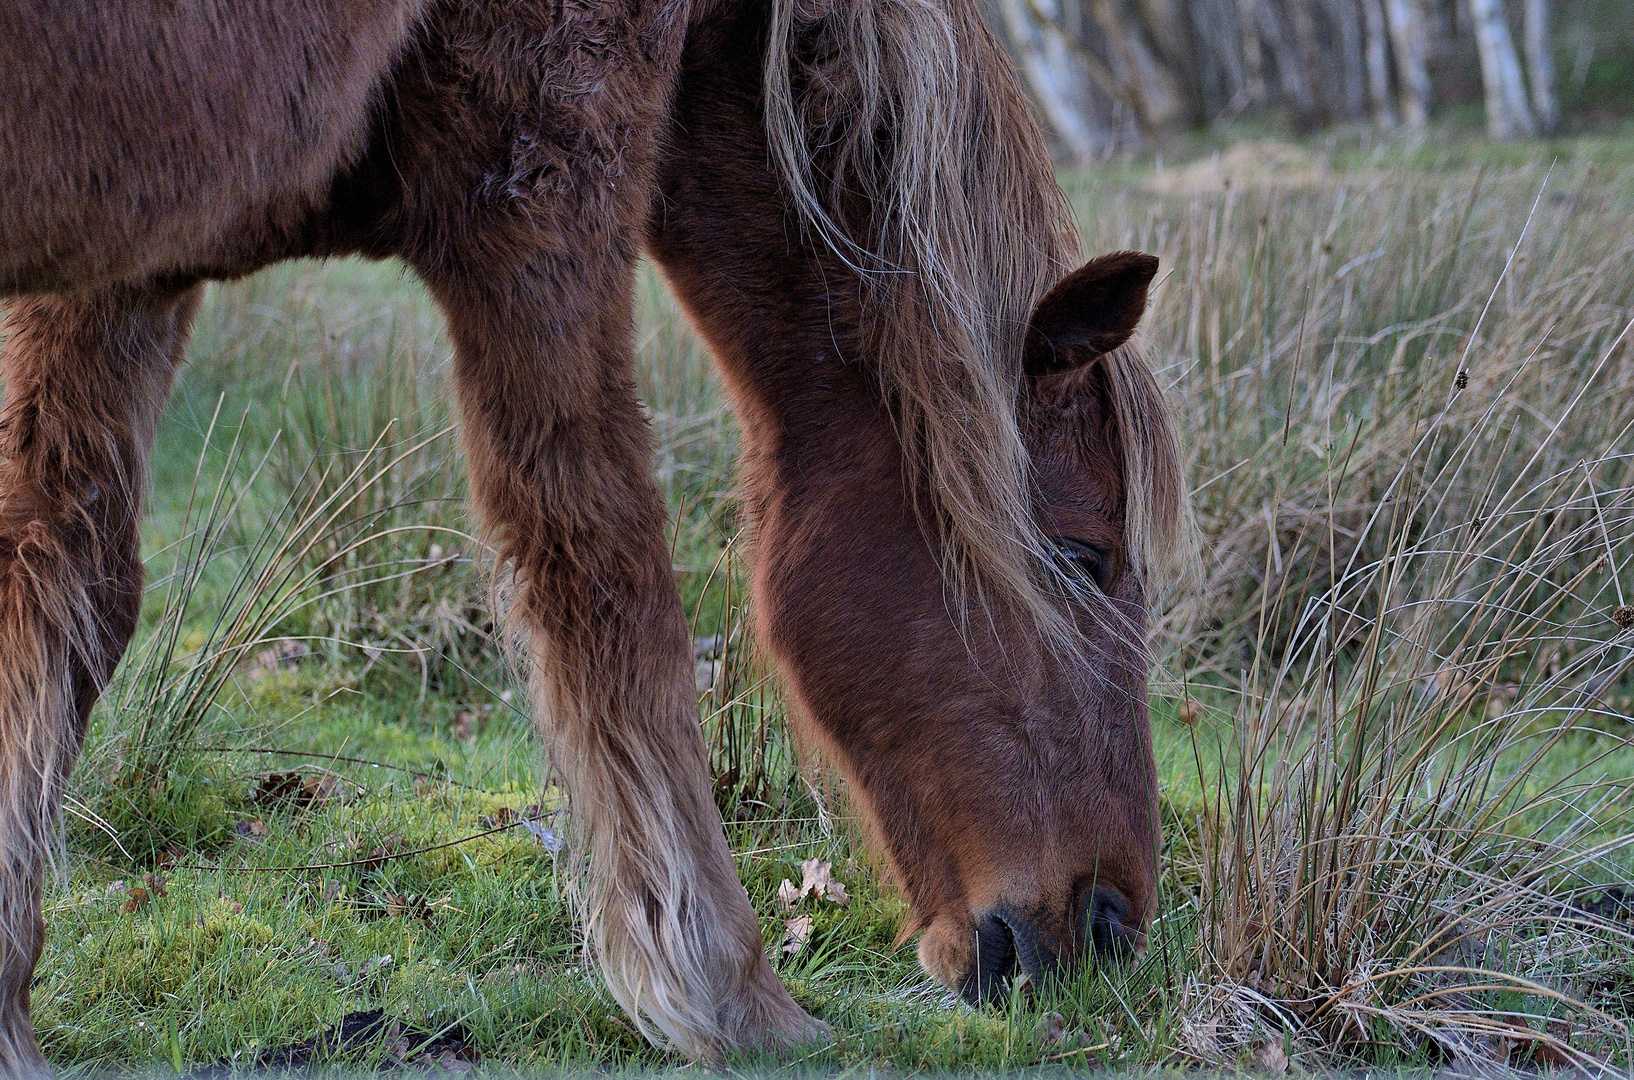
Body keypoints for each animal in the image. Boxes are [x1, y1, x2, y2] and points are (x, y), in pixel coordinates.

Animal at [0, 0, 1176, 1071]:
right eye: (1082, 556)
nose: (1111, 928)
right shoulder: (546, 181)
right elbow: (611, 583)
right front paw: (726, 995)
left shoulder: (127, 266)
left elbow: (62, 578)